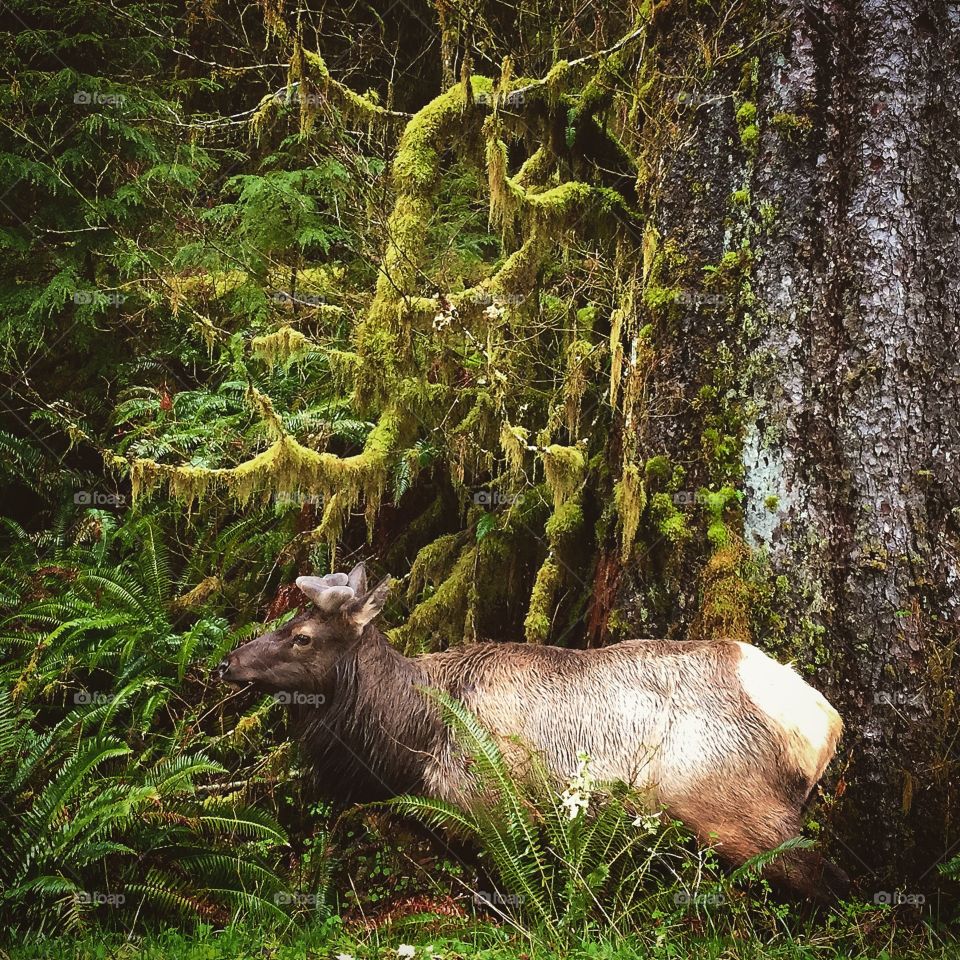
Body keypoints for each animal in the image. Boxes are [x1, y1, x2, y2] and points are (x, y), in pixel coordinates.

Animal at [218, 564, 848, 900]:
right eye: (287, 621)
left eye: (302, 637)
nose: (228, 661)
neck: (413, 740)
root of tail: (825, 724)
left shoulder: (495, 807)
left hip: (733, 807)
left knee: (818, 874)